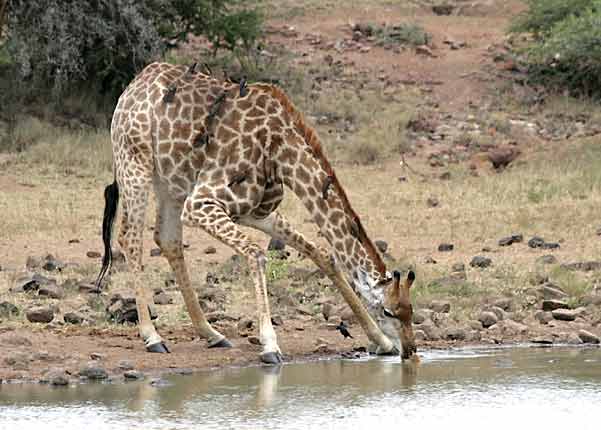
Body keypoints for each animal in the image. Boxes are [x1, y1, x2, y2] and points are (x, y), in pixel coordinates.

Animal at [96, 60, 418, 362]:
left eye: (410, 310)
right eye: (388, 311)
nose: (411, 350)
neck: (280, 152)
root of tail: (133, 86)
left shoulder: (254, 210)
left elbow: (323, 255)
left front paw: (380, 341)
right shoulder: (201, 203)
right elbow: (256, 253)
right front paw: (270, 345)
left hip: (171, 182)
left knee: (168, 239)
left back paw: (212, 333)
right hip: (135, 164)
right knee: (130, 238)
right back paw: (152, 337)